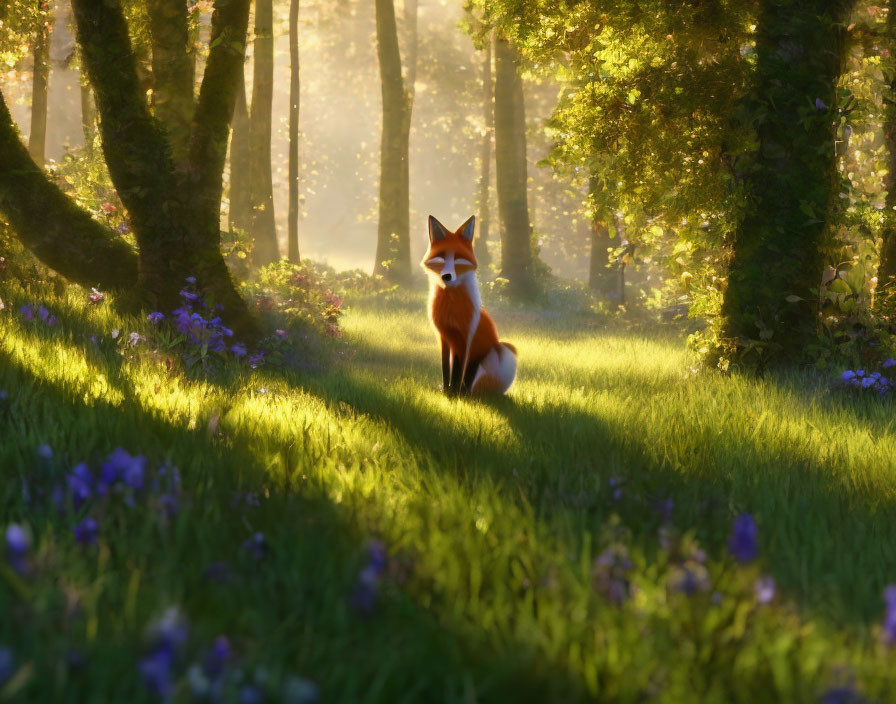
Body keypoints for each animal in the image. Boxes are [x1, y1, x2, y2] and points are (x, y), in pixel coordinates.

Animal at [422, 214, 520, 396]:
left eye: (459, 260)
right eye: (441, 257)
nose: (447, 276)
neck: (451, 307)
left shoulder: (465, 338)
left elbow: (458, 370)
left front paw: (454, 394)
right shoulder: (444, 336)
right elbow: (446, 368)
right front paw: (446, 391)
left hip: (502, 351)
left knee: (473, 378)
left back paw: (468, 393)